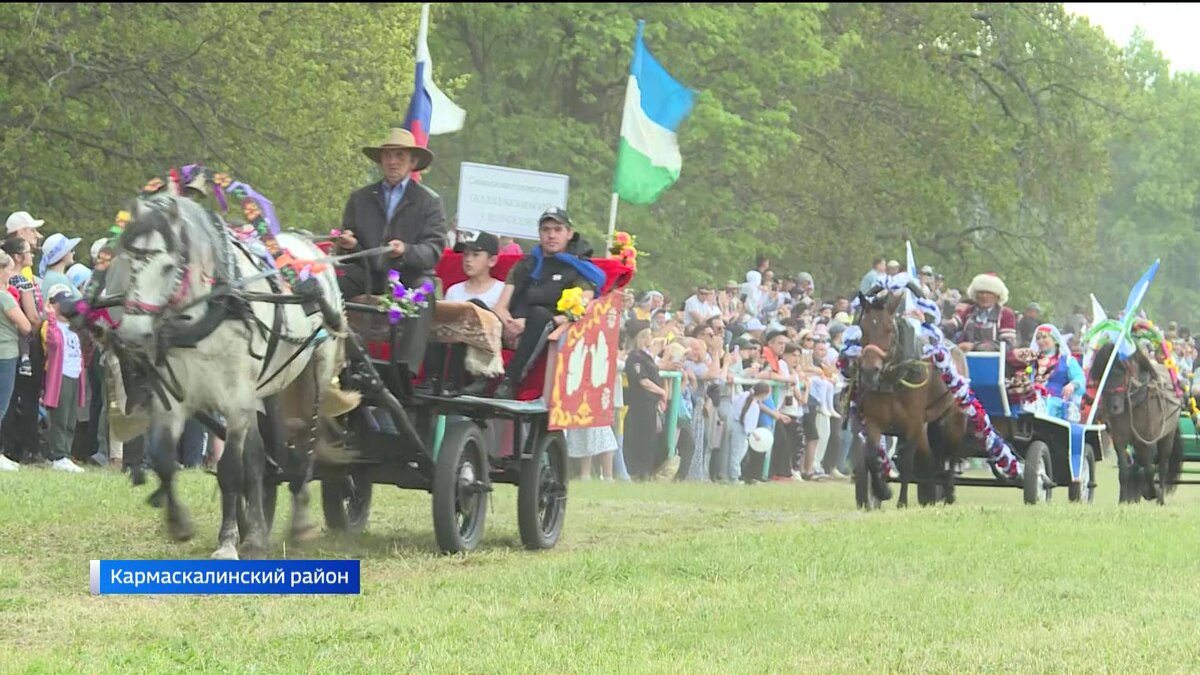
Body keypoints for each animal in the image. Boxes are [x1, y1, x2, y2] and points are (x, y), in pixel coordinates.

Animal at [101, 190, 355, 557]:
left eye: (168, 266)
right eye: (127, 261)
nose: (133, 335)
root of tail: (310, 244)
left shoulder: (235, 401)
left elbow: (231, 470)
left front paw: (227, 543)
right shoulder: (174, 399)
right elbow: (165, 460)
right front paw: (180, 524)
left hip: (312, 377)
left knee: (303, 451)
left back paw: (299, 523)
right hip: (267, 390)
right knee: (261, 458)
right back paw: (258, 532)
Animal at [859, 289, 969, 504]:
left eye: (888, 329)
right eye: (863, 327)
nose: (869, 370)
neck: (895, 378)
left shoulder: (913, 422)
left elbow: (908, 463)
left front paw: (902, 501)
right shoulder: (874, 420)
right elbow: (872, 457)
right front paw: (881, 491)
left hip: (954, 420)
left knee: (953, 453)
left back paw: (949, 490)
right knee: (932, 458)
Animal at [1089, 341, 1180, 499]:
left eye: (1121, 373)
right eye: (1103, 374)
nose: (1113, 408)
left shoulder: (1149, 439)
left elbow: (1150, 469)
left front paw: (1152, 492)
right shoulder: (1119, 439)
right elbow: (1123, 472)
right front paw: (1123, 499)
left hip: (1168, 435)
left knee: (1163, 466)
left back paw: (1160, 497)